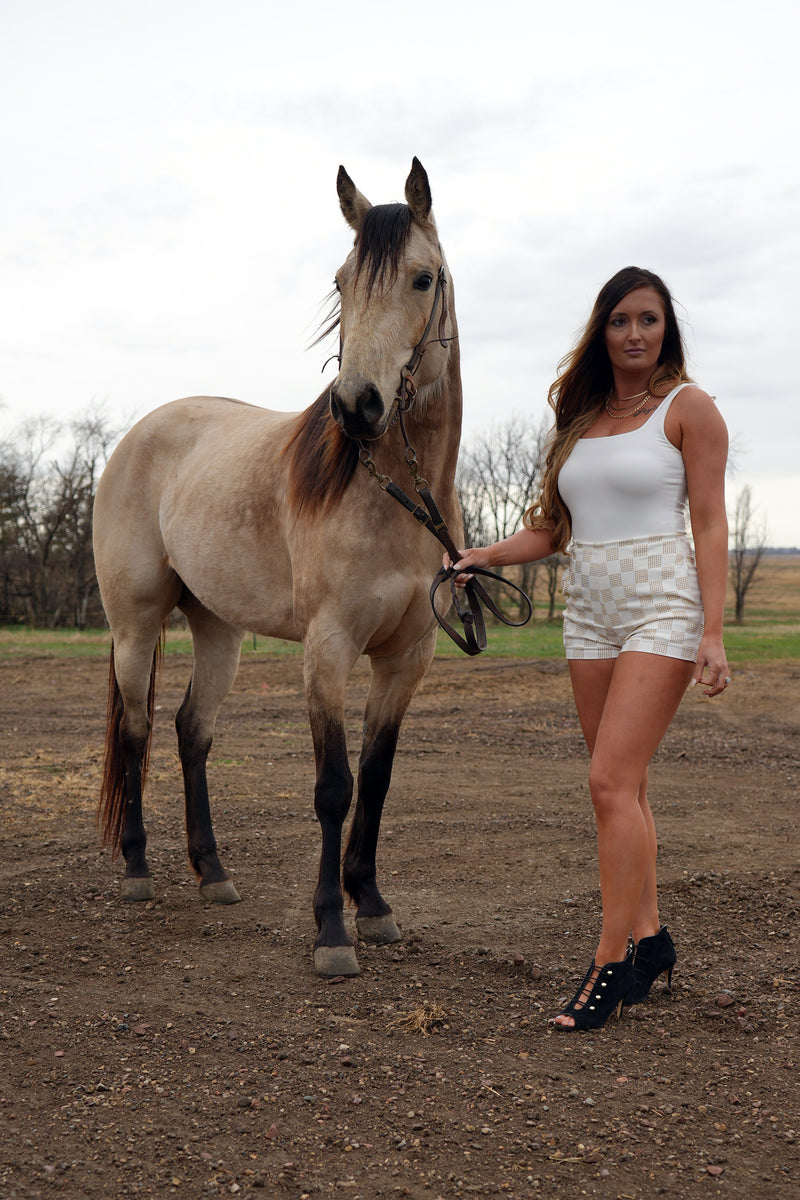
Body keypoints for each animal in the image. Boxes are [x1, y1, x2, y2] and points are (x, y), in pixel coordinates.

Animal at [97, 157, 479, 974]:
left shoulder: (407, 657)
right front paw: (332, 929)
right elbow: (334, 786)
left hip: (218, 628)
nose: (358, 405)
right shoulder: (328, 648)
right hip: (135, 627)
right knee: (139, 729)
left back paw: (213, 873)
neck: (394, 495)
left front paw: (374, 904)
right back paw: (139, 869)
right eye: (341, 281)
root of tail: (138, 433)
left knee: (192, 730)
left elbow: (377, 779)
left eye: (422, 278)